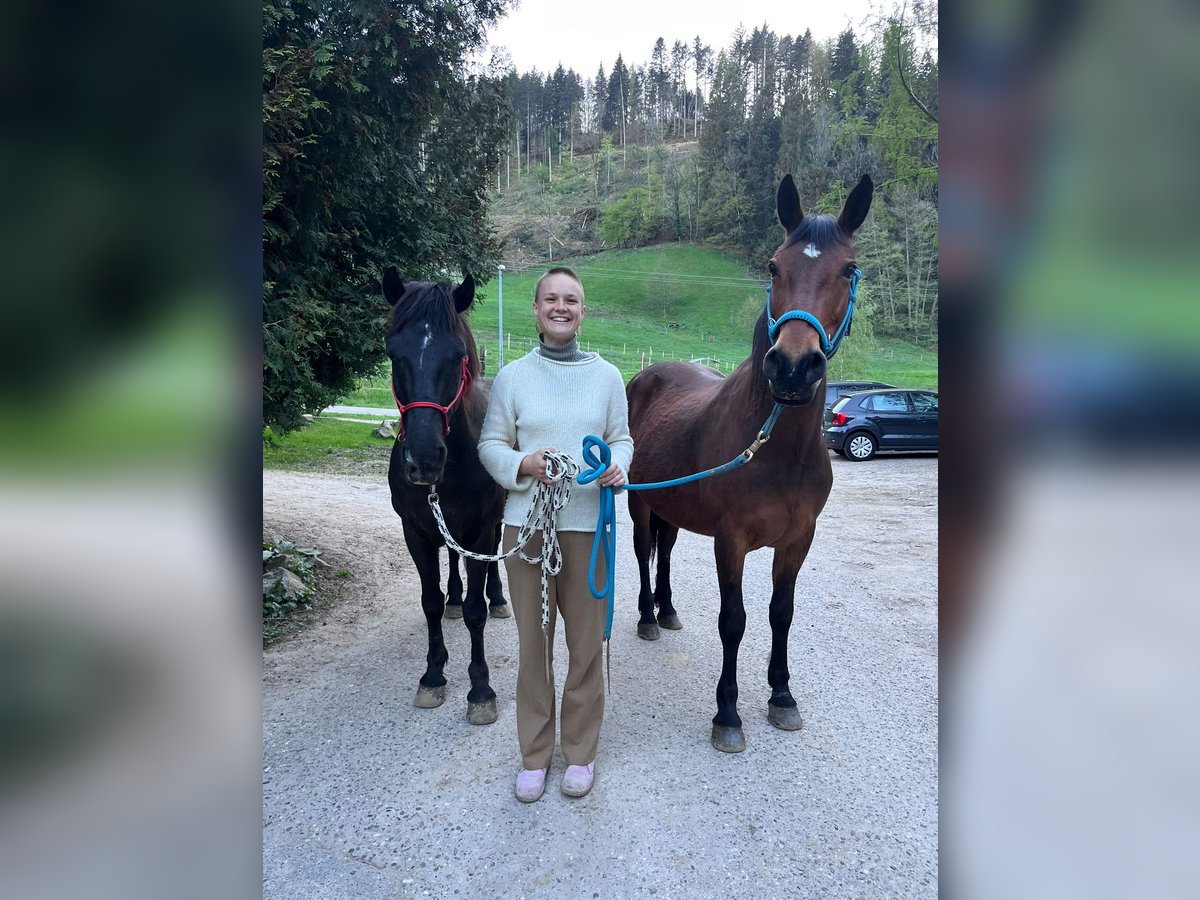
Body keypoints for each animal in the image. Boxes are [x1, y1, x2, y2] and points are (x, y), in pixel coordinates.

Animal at [384, 267, 506, 724]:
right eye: (392, 353)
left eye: (456, 356)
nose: (422, 459)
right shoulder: (415, 532)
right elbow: (431, 601)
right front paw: (433, 675)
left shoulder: (481, 532)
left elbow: (476, 612)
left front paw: (480, 689)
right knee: (451, 566)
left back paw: (498, 597)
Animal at [628, 176, 873, 753]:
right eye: (773, 266)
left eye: (848, 269)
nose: (792, 366)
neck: (779, 451)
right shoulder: (731, 539)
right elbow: (734, 621)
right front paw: (727, 713)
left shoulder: (798, 539)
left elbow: (781, 613)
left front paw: (782, 697)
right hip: (641, 503)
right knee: (645, 553)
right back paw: (648, 616)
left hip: (673, 506)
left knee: (665, 551)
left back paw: (667, 611)